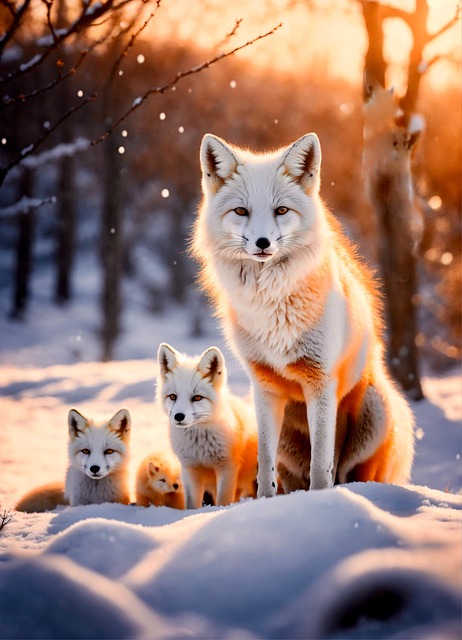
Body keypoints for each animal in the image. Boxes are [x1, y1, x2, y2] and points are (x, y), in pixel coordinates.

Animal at [157, 342, 258, 509]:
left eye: (197, 398)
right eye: (172, 396)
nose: (178, 416)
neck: (200, 447)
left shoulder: (227, 467)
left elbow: (223, 500)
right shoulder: (190, 470)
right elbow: (192, 504)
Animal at [192, 132, 415, 498]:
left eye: (281, 210)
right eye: (241, 211)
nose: (263, 242)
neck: (272, 309)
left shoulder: (321, 382)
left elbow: (322, 467)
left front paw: (320, 502)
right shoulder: (264, 385)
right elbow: (265, 465)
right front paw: (267, 503)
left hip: (374, 408)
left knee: (350, 472)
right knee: (290, 474)